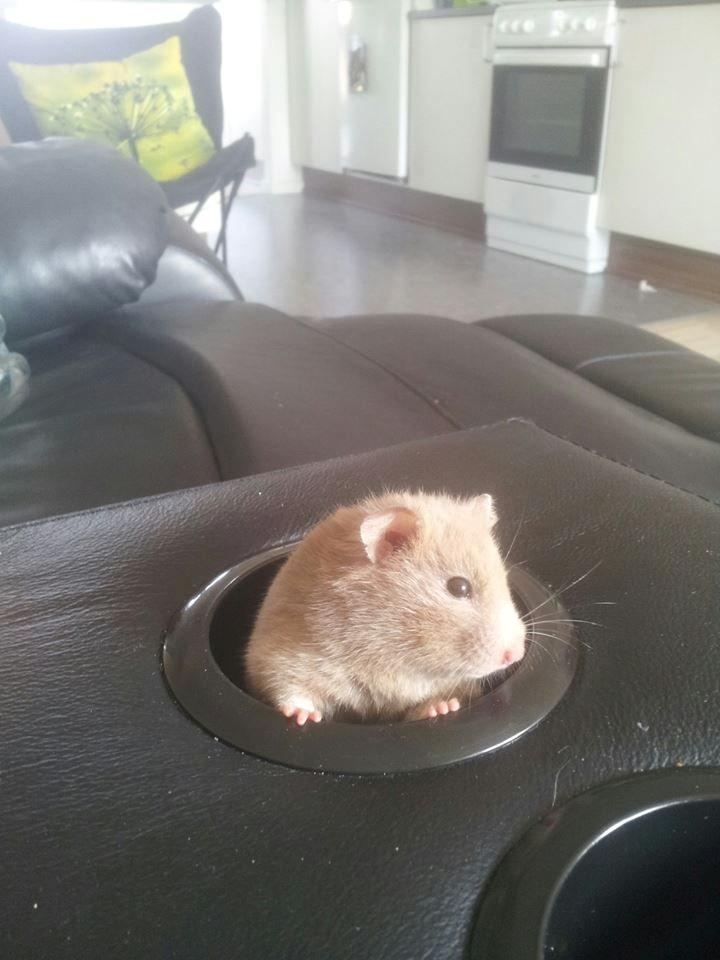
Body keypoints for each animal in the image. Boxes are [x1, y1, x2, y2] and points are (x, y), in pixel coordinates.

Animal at [244, 490, 526, 724]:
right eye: (459, 587)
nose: (516, 654)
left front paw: (443, 707)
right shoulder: (282, 655)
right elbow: (290, 688)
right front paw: (302, 717)